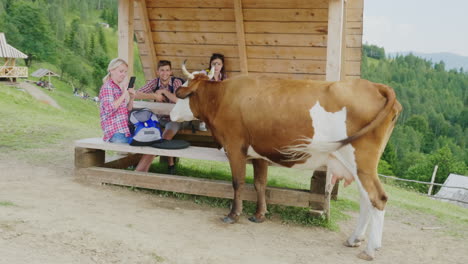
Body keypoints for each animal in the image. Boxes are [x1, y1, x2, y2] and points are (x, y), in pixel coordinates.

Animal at [170, 61, 400, 260]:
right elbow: (260, 184)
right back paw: (354, 239)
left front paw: (233, 215)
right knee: (366, 199)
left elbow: (238, 183)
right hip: (355, 165)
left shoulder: (235, 148)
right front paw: (259, 215)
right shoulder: (259, 154)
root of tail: (375, 86)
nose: (171, 115)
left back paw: (370, 249)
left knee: (378, 198)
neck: (222, 97)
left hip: (361, 161)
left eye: (181, 93)